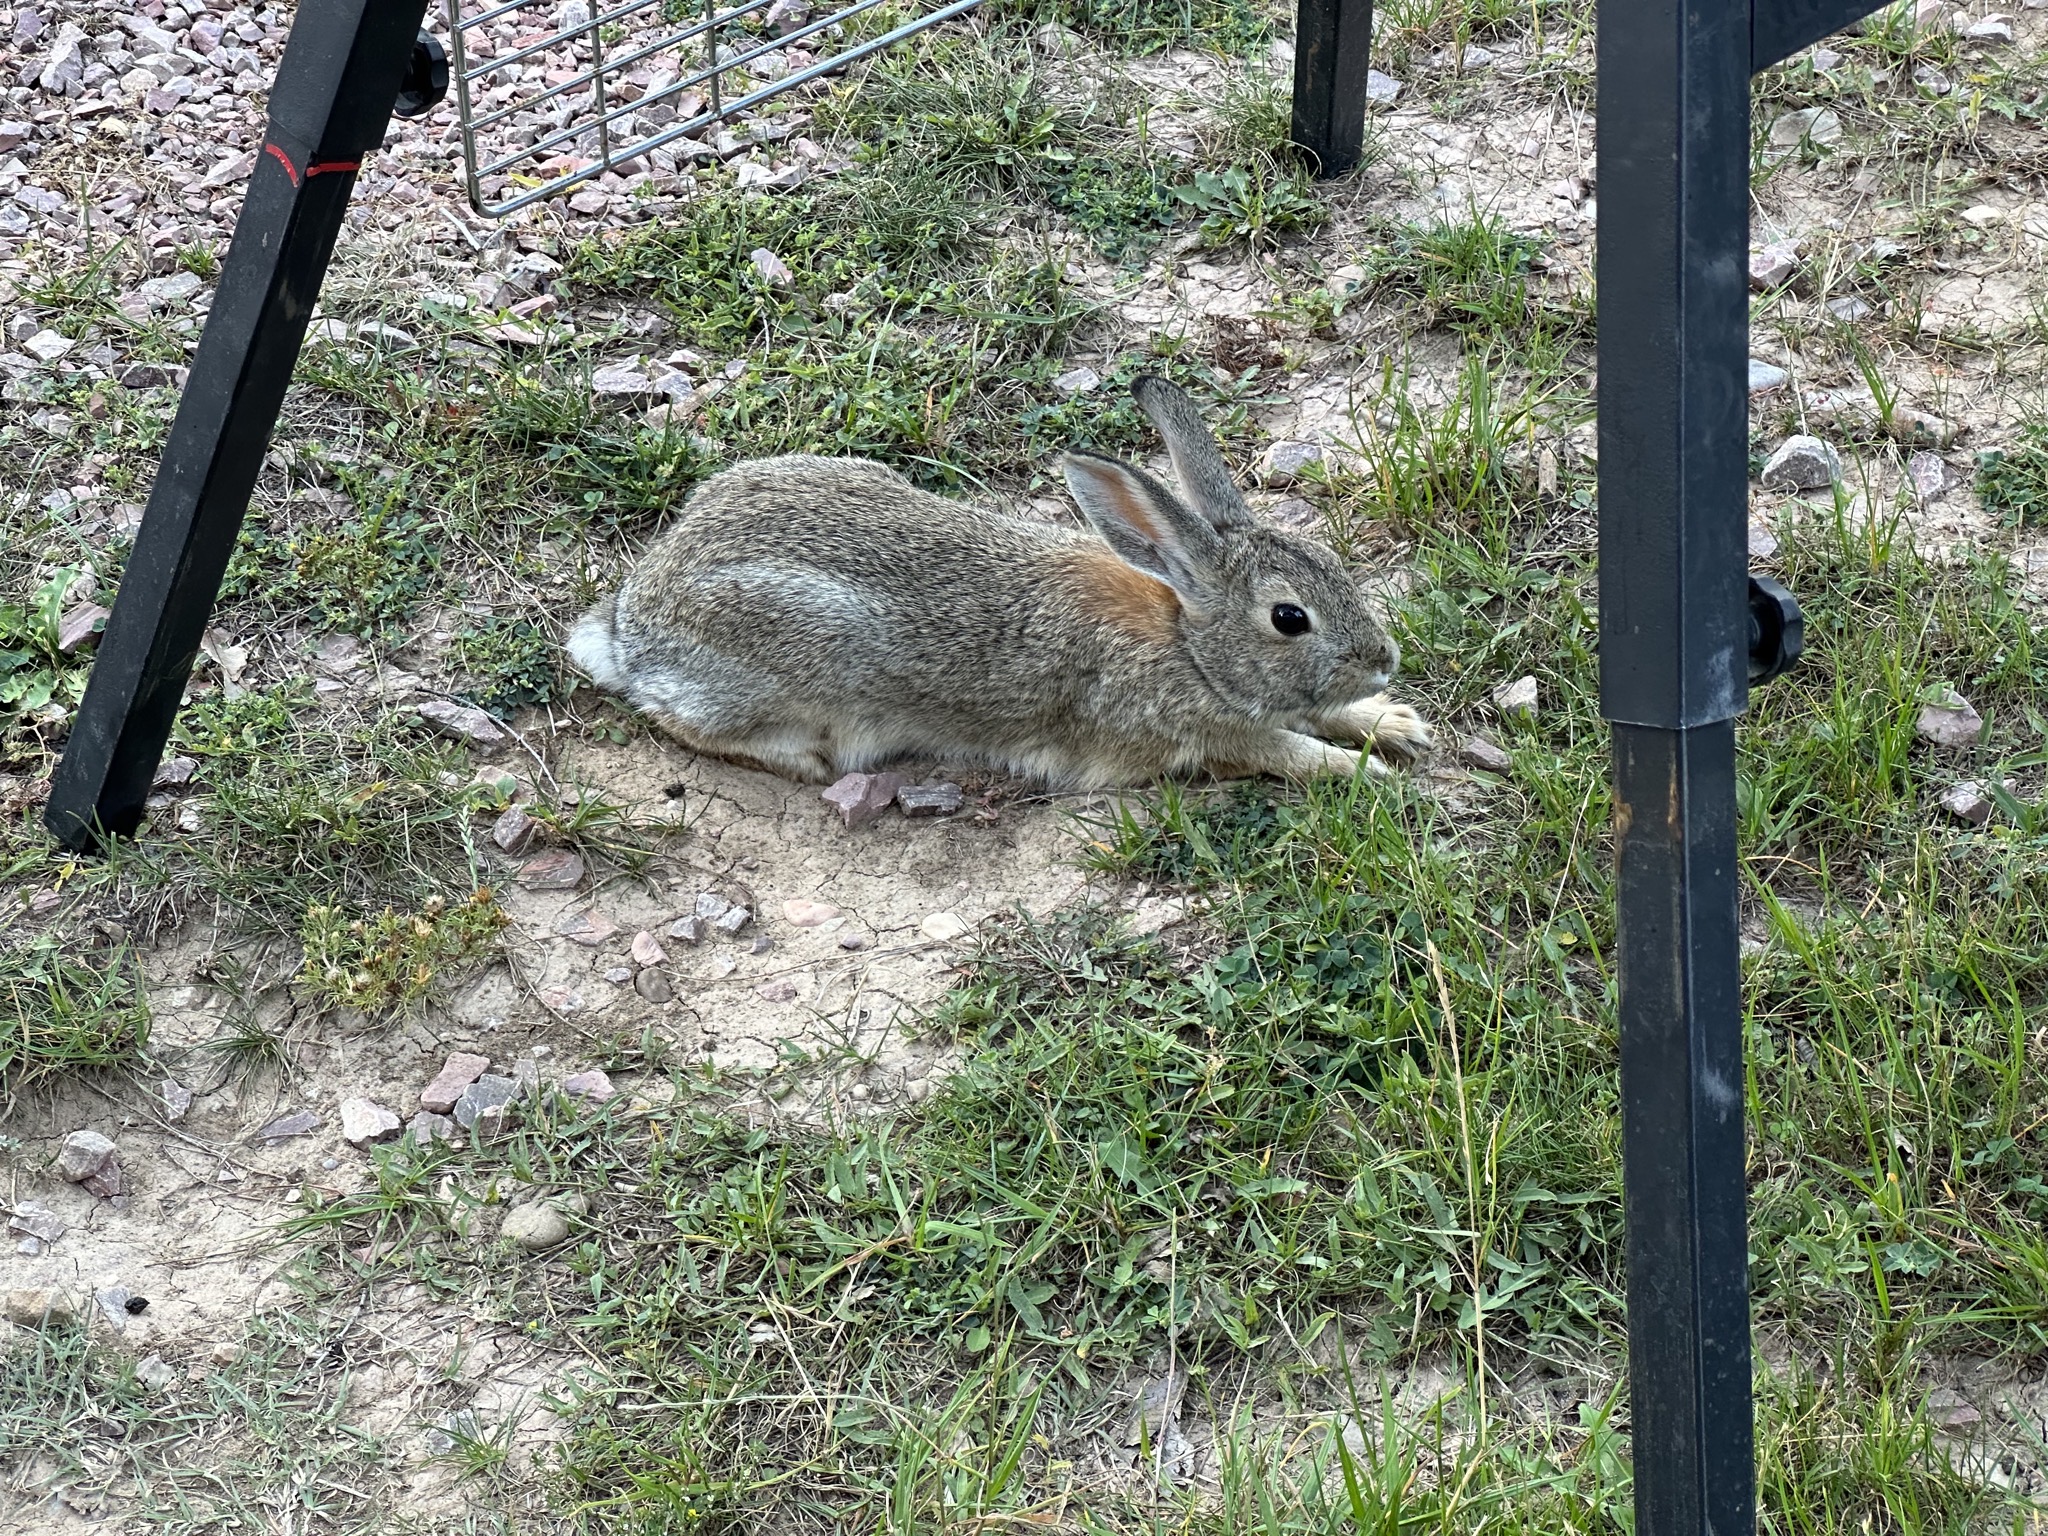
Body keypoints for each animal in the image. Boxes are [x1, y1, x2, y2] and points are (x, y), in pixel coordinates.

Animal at [566, 375, 1432, 789]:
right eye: (1290, 619)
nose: (1384, 660)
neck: (1186, 638)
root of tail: (629, 628)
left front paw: (1394, 723)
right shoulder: (1201, 736)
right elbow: (1285, 748)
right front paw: (1367, 775)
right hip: (796, 655)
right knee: (680, 719)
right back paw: (805, 761)